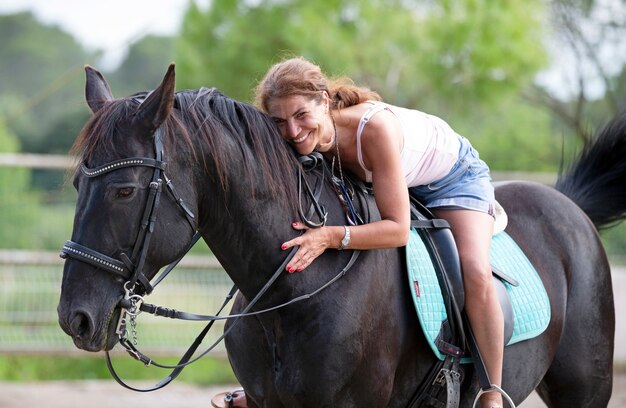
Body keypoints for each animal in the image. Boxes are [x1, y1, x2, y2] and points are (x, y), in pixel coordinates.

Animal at [56, 65, 620, 406]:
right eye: (80, 184)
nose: (74, 318)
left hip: (583, 389)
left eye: (125, 190)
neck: (292, 295)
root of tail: (570, 204)